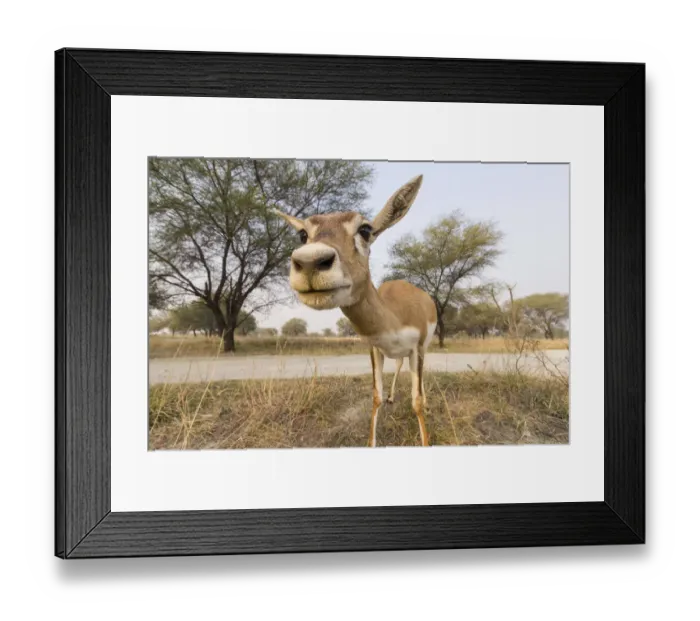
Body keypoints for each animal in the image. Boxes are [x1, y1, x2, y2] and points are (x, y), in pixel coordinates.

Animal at [275, 175, 437, 447]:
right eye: (302, 234)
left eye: (365, 230)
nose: (310, 262)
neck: (394, 316)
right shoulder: (375, 348)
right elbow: (376, 397)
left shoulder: (417, 348)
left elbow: (416, 401)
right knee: (398, 366)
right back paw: (393, 396)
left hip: (423, 349)